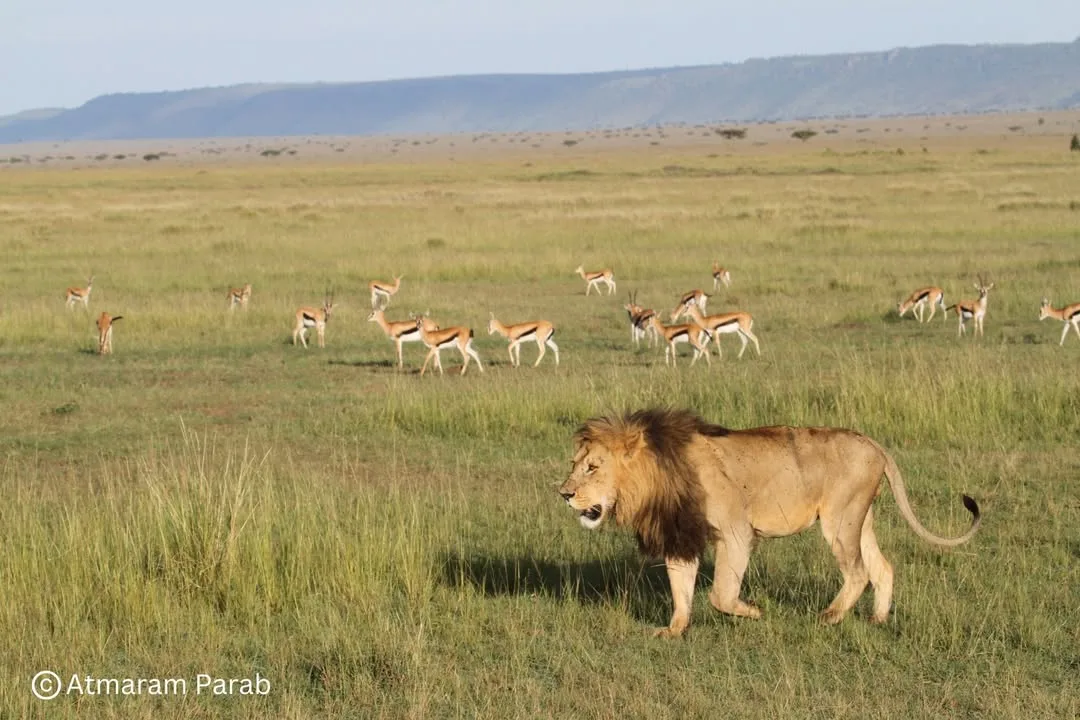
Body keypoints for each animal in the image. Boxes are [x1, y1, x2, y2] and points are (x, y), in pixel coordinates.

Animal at [558, 408, 981, 638]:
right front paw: (674, 630)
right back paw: (877, 619)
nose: (564, 493)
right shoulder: (682, 534)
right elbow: (681, 589)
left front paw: (755, 612)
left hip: (839, 520)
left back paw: (829, 617)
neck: (657, 477)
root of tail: (875, 444)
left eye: (593, 467)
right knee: (883, 567)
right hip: (860, 520)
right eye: (574, 465)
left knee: (858, 572)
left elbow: (720, 594)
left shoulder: (735, 532)